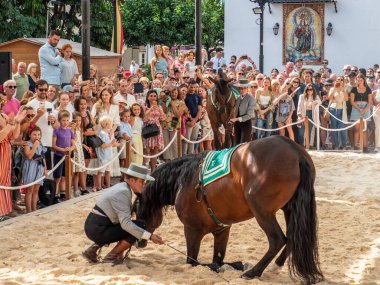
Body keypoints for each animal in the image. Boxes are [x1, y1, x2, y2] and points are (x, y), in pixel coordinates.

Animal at [135, 136, 326, 282]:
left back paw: (253, 272)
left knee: (277, 240)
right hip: (290, 209)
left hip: (262, 212)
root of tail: (295, 152)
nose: (139, 242)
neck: (184, 180)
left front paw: (236, 266)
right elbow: (218, 260)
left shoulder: (191, 230)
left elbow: (193, 262)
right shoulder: (222, 230)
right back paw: (274, 266)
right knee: (293, 237)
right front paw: (231, 265)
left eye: (136, 209)